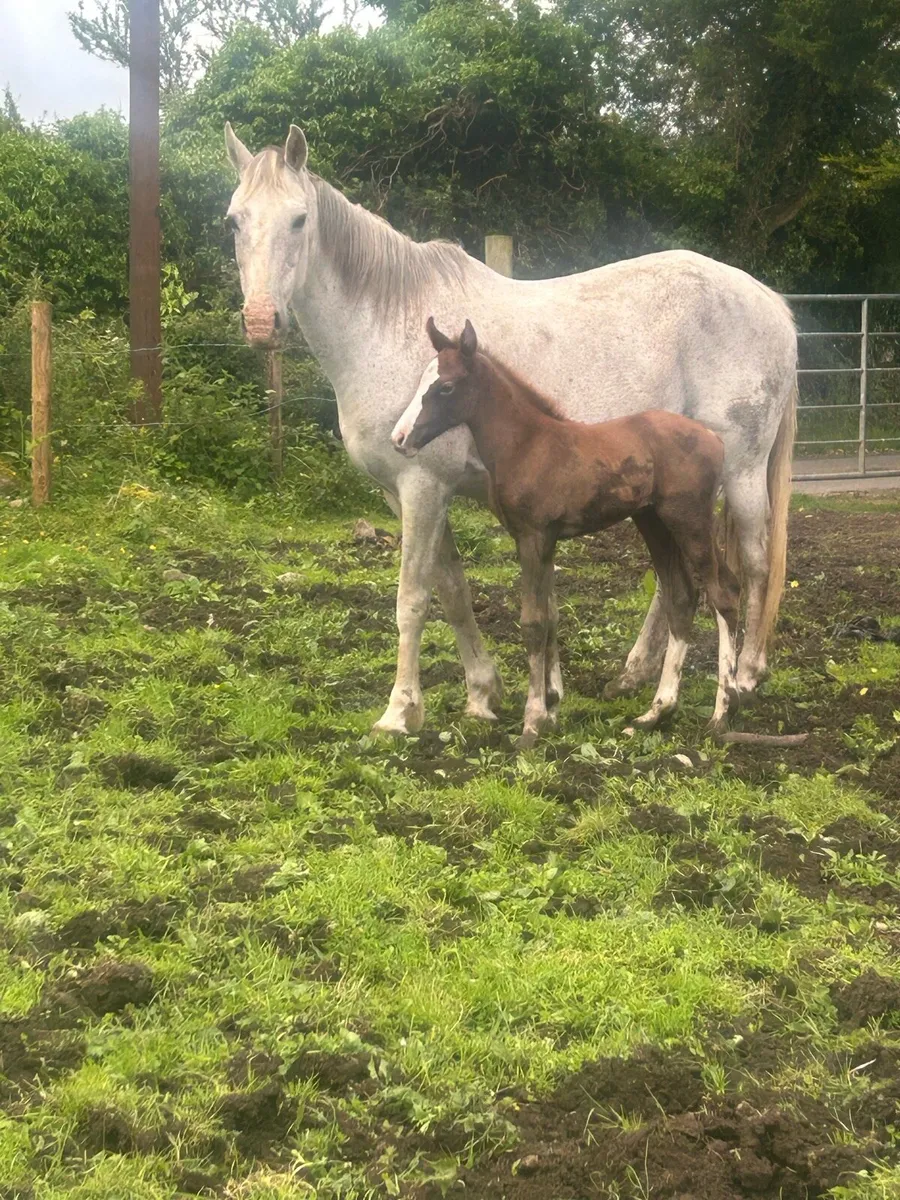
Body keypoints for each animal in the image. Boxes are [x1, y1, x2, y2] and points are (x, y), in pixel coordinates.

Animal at [392, 318, 741, 746]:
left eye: (445, 387)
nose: (399, 439)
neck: (527, 445)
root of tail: (715, 439)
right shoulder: (540, 541)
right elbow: (549, 618)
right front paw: (552, 712)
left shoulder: (534, 537)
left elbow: (533, 622)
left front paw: (531, 723)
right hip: (654, 522)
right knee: (683, 597)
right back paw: (656, 712)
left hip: (690, 519)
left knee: (722, 594)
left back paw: (722, 713)